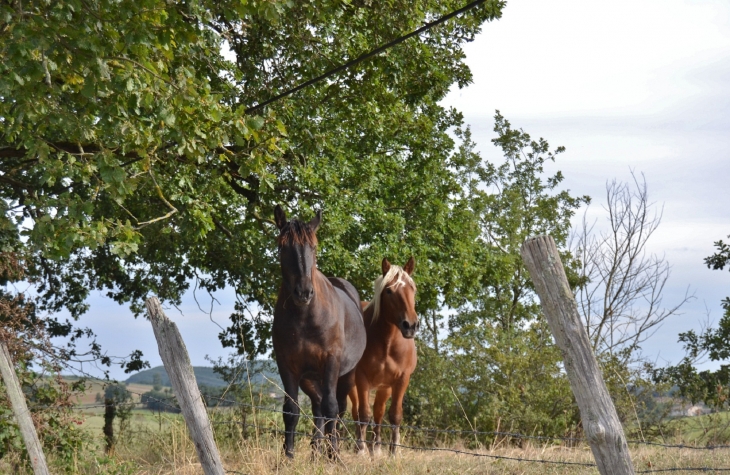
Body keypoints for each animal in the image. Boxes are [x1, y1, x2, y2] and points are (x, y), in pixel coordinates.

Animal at [270, 206, 364, 460]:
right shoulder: (287, 365)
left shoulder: (331, 361)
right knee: (318, 407)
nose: (303, 292)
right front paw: (287, 457)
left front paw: (334, 457)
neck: (306, 317)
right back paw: (316, 452)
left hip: (346, 375)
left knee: (336, 408)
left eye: (313, 246)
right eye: (282, 246)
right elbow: (291, 410)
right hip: (310, 379)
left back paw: (330, 451)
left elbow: (332, 408)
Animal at [350, 258, 418, 456]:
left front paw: (394, 451)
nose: (410, 325)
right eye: (389, 290)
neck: (387, 343)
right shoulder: (361, 378)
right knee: (356, 412)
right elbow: (363, 414)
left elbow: (394, 415)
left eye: (413, 289)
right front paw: (361, 450)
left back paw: (377, 448)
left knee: (378, 412)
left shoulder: (401, 379)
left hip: (384, 388)